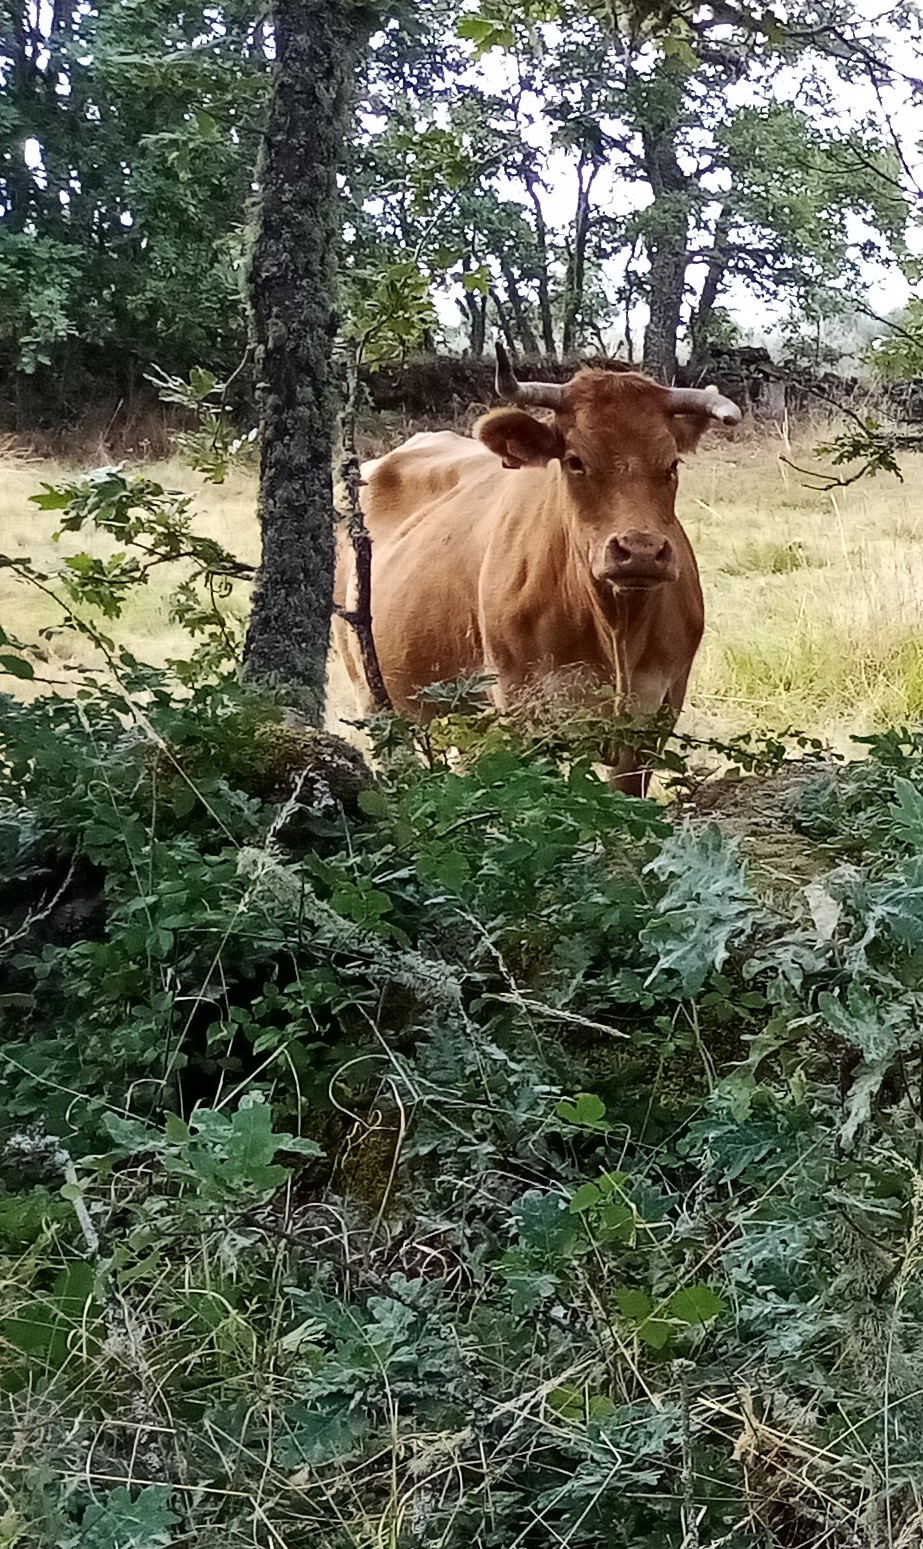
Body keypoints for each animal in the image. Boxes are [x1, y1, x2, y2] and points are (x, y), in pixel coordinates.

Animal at [336, 345, 740, 793]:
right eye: (575, 461)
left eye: (671, 464)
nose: (641, 551)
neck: (615, 627)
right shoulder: (520, 707)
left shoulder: (656, 714)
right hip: (374, 698)